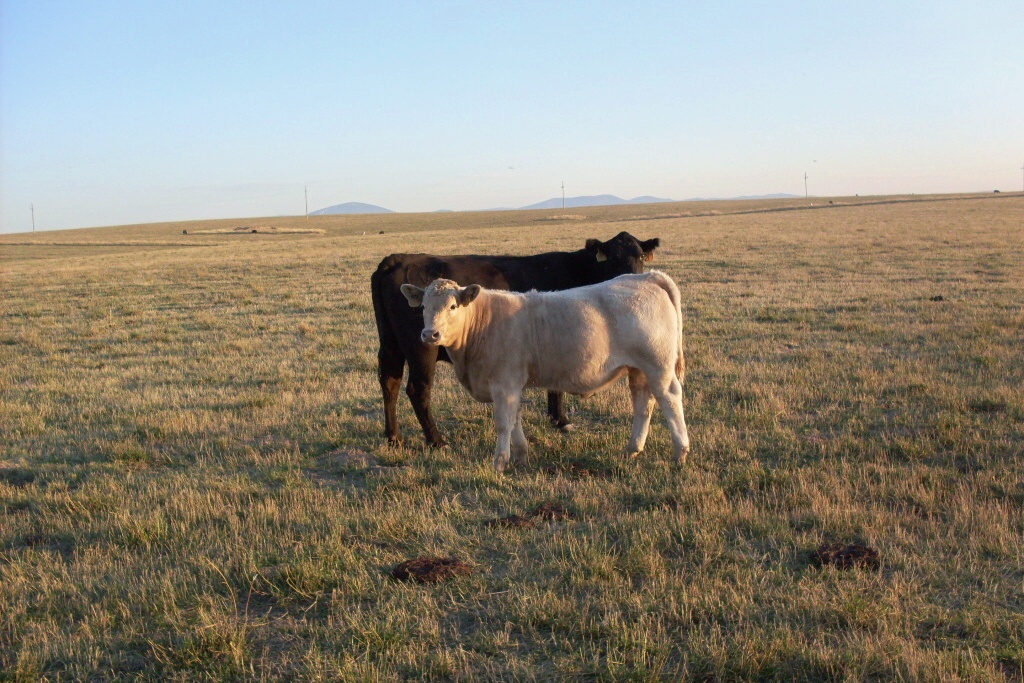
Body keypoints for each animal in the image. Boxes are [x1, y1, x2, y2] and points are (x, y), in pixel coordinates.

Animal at [372, 233, 659, 448]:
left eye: (640, 256)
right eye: (614, 258)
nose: (632, 278)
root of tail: (396, 259)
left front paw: (557, 419)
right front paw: (562, 419)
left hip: (390, 344)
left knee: (390, 382)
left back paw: (393, 437)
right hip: (422, 346)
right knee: (417, 389)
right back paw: (436, 440)